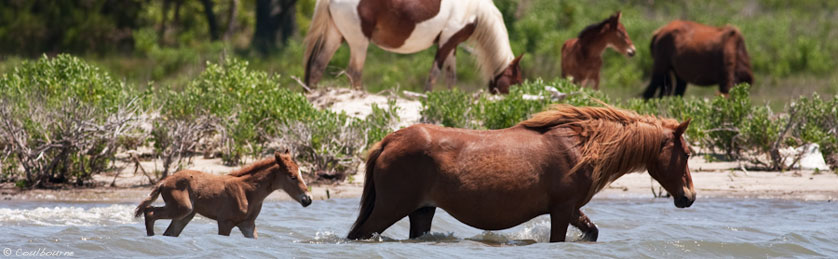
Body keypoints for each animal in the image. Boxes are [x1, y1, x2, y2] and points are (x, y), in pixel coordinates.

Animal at [136, 151, 314, 239]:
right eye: (292, 176)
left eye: (300, 173)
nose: (308, 199)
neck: (248, 191)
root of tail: (163, 182)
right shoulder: (225, 222)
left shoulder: (247, 224)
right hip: (181, 208)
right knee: (150, 212)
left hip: (186, 214)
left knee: (169, 232)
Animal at [302, 0, 524, 94]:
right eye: (516, 82)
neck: (475, 9)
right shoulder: (446, 42)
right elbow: (434, 74)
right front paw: (427, 97)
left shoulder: (452, 44)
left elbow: (451, 77)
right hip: (359, 42)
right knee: (354, 72)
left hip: (335, 35)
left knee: (317, 66)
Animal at [346, 104, 696, 243]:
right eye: (688, 153)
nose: (689, 197)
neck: (581, 146)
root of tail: (389, 140)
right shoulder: (562, 210)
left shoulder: (572, 210)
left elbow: (592, 232)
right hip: (390, 208)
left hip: (422, 211)